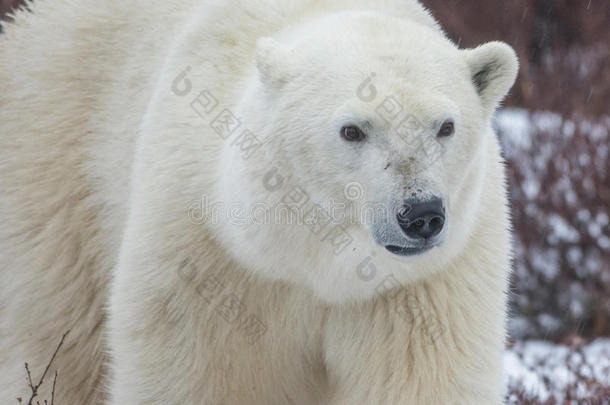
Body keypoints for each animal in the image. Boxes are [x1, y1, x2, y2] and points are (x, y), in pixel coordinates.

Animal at [0, 0, 516, 402]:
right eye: (352, 129)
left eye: (445, 126)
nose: (420, 214)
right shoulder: (210, 259)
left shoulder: (426, 285)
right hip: (55, 163)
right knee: (60, 333)